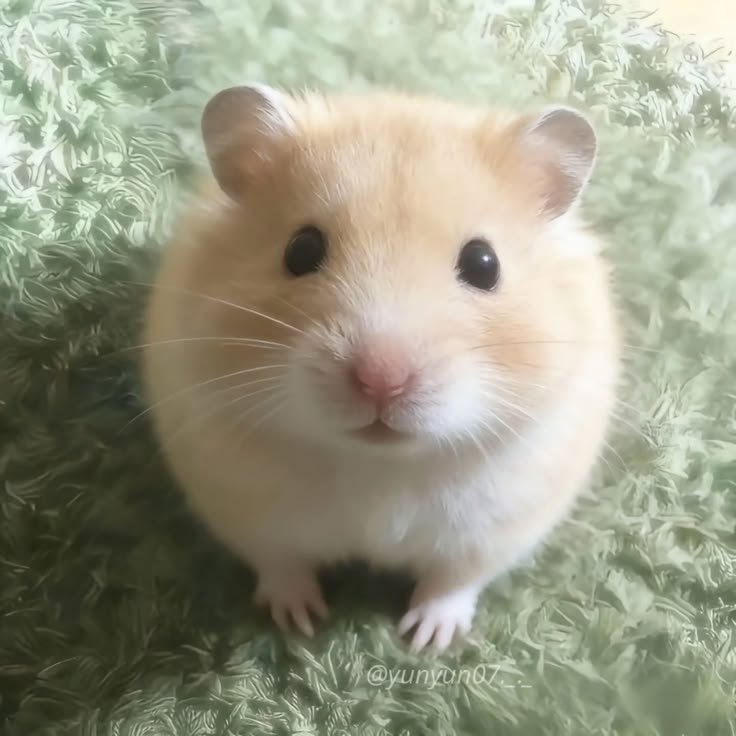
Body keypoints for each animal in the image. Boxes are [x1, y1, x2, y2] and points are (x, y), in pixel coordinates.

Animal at [141, 84, 619, 651]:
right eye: (300, 250)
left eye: (484, 265)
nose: (380, 380)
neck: (378, 464)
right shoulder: (243, 509)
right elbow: (281, 565)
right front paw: (299, 622)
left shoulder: (497, 529)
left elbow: (453, 581)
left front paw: (426, 640)